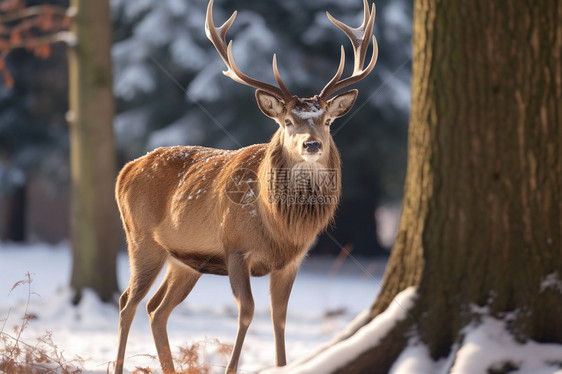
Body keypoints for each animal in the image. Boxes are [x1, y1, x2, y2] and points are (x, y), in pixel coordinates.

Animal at [114, 0, 376, 372]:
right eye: (287, 121)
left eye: (327, 121)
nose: (312, 144)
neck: (280, 226)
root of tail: (126, 169)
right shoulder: (236, 247)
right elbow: (247, 313)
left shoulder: (292, 261)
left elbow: (279, 318)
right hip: (141, 239)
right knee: (128, 302)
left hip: (183, 261)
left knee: (156, 310)